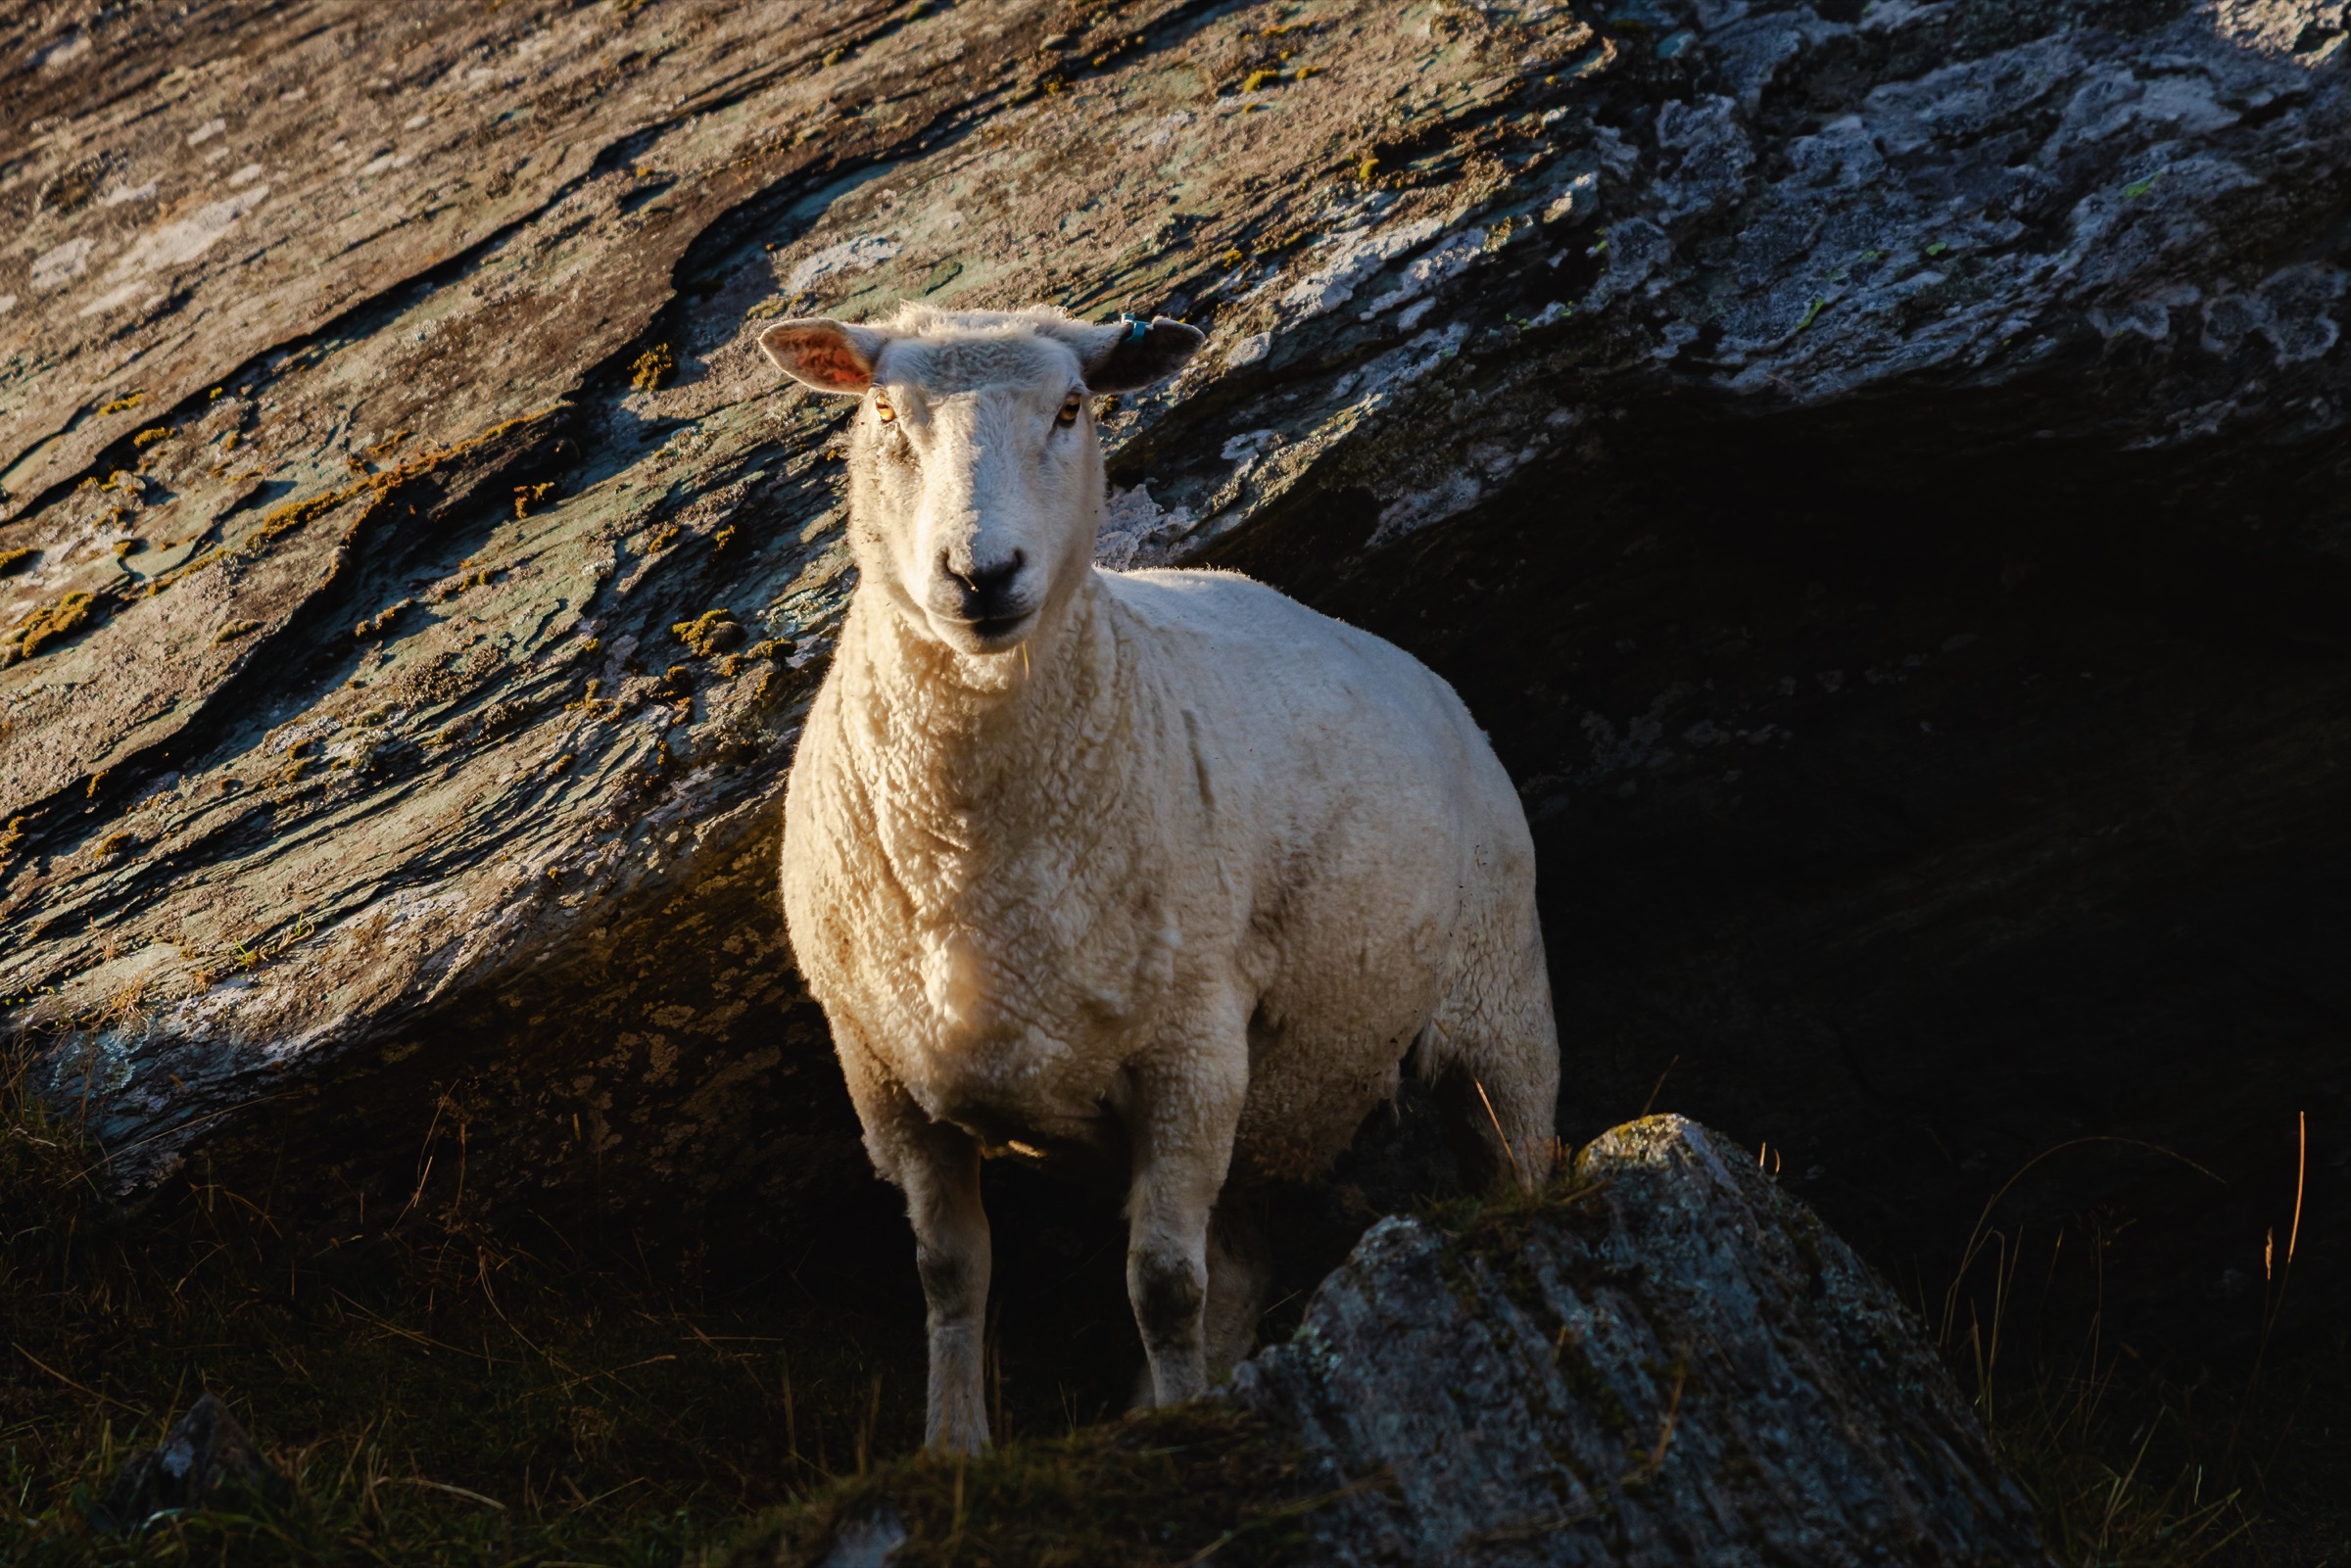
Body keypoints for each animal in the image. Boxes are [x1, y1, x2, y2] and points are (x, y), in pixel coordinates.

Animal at [758, 303, 1561, 1455]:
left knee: (1517, 1157)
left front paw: (1186, 1419)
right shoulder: (886, 1076)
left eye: (1071, 407)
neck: (973, 854)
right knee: (1243, 1260)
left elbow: (1164, 1281)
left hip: (1500, 999)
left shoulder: (1194, 1047)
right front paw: (955, 1449)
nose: (981, 572)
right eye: (883, 415)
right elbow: (951, 1275)